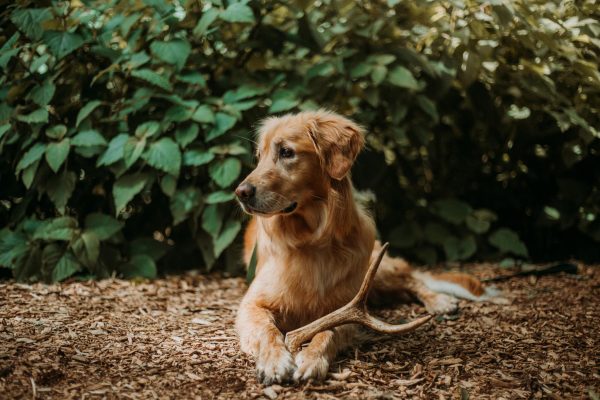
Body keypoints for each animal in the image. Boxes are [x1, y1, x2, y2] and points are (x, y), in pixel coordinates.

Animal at [234, 109, 496, 384]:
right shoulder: (252, 304)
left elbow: (327, 332)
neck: (311, 241)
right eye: (259, 156)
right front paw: (274, 361)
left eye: (286, 152)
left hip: (376, 267)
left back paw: (440, 301)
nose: (240, 193)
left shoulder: (346, 307)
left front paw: (312, 359)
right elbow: (268, 330)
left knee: (413, 279)